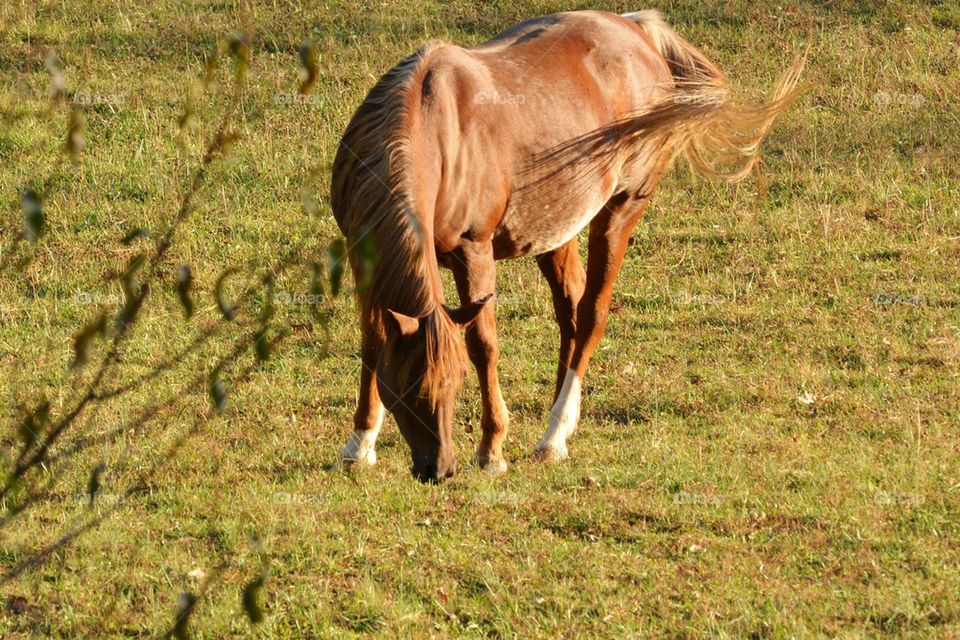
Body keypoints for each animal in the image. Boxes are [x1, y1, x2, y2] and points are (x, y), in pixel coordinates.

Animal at [334, 10, 808, 482]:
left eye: (454, 382)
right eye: (406, 386)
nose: (440, 468)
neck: (437, 131)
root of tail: (636, 29)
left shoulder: (475, 252)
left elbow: (483, 345)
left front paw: (491, 450)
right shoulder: (364, 257)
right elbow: (374, 339)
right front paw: (360, 444)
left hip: (621, 210)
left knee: (593, 312)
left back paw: (554, 435)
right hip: (556, 231)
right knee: (572, 312)